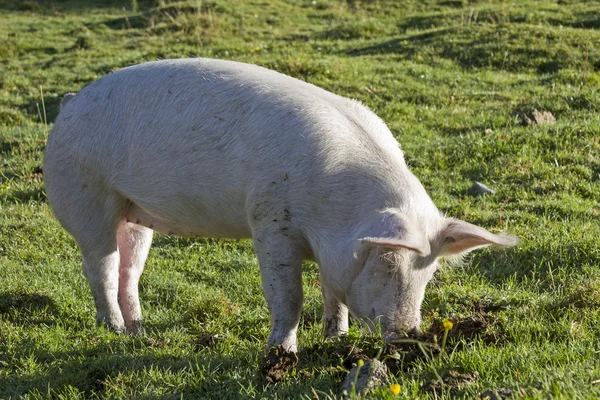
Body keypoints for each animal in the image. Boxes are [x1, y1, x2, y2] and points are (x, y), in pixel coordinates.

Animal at [44, 57, 516, 354]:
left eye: (429, 272)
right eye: (386, 265)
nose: (408, 336)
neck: (335, 207)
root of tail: (70, 103)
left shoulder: (330, 251)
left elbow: (333, 293)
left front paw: (335, 341)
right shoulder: (270, 220)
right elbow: (288, 296)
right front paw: (282, 354)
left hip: (137, 213)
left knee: (130, 269)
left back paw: (139, 334)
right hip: (85, 196)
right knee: (100, 267)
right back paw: (114, 330)